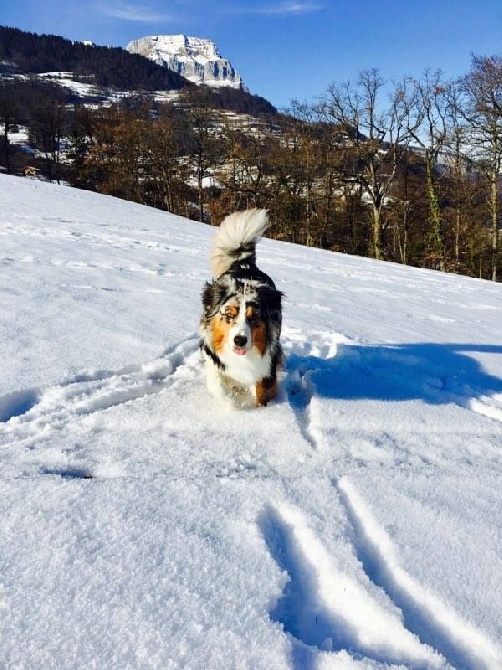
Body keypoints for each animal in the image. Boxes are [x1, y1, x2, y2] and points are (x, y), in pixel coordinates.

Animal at [201, 210, 286, 410]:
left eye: (254, 317)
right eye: (229, 314)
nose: (240, 340)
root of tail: (244, 263)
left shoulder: (267, 365)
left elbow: (263, 392)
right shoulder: (213, 358)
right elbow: (218, 384)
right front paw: (232, 403)